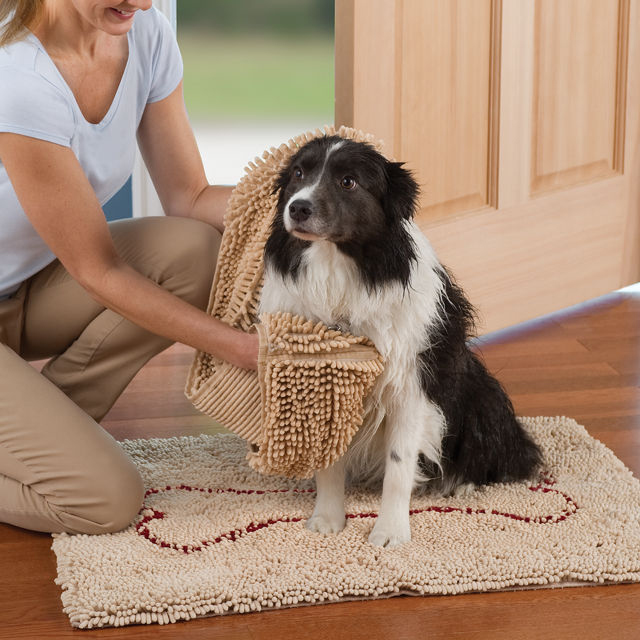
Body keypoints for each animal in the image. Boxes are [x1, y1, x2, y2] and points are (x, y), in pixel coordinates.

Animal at [258, 138, 544, 548]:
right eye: (298, 172)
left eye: (348, 181)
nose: (298, 207)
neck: (340, 271)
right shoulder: (324, 378)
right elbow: (330, 461)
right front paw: (328, 518)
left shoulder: (411, 386)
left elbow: (398, 466)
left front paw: (390, 532)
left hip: (479, 393)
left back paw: (462, 483)